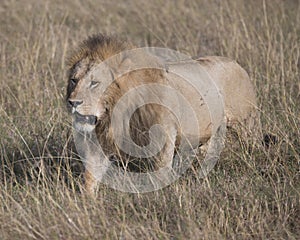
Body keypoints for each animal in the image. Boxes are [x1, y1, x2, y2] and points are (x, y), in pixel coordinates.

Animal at [65, 33, 260, 194]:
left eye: (94, 83)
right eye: (74, 80)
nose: (73, 102)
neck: (116, 110)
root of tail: (236, 63)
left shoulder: (164, 135)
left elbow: (160, 172)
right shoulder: (102, 139)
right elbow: (91, 174)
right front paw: (87, 201)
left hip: (245, 124)